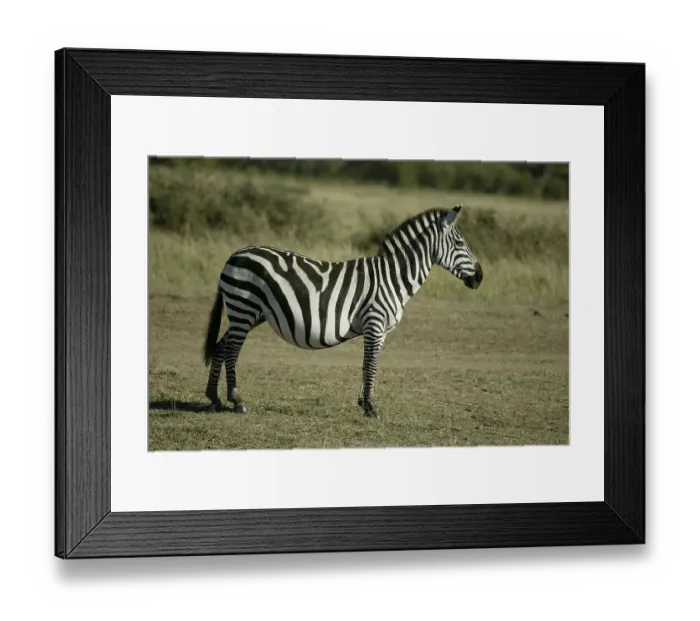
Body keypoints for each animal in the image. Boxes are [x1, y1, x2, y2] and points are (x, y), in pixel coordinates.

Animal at [202, 205, 483, 419]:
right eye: (460, 242)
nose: (480, 277)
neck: (393, 278)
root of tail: (235, 254)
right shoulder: (374, 323)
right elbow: (371, 365)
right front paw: (371, 407)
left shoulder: (381, 330)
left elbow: (368, 364)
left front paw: (364, 403)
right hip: (243, 307)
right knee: (232, 349)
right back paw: (237, 400)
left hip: (249, 312)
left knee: (221, 345)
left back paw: (214, 397)